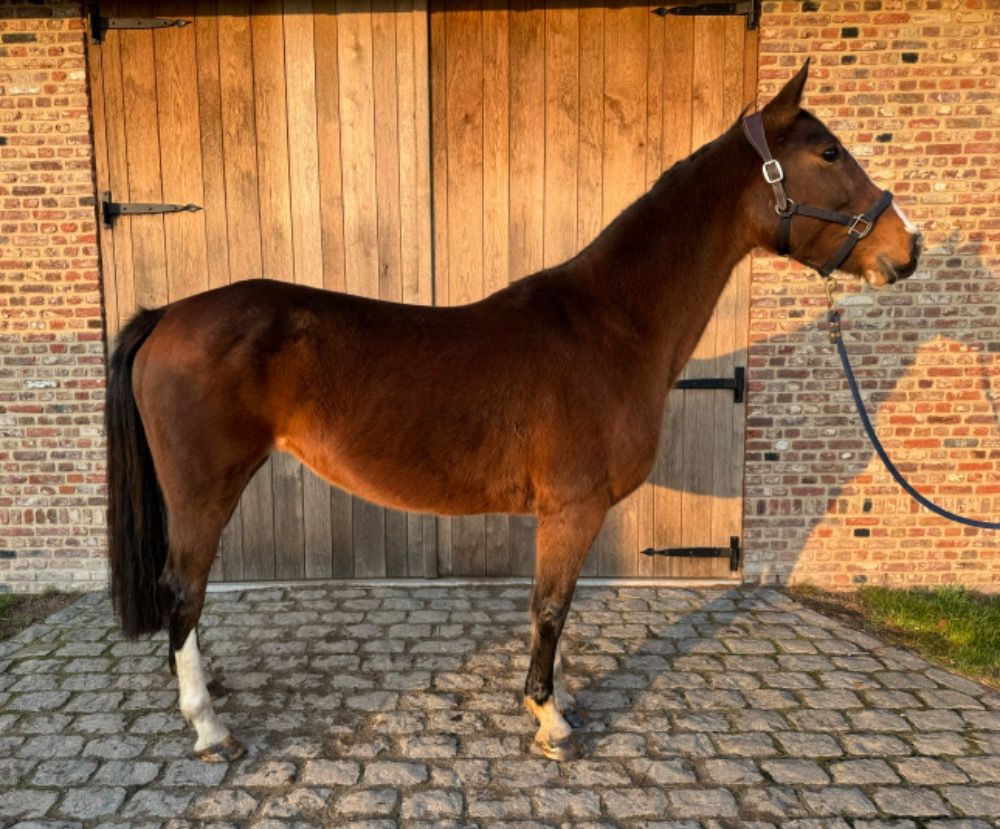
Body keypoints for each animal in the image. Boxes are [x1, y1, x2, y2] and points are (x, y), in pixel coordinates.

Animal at [104, 61, 921, 763]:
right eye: (828, 151)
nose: (905, 248)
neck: (608, 326)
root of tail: (169, 314)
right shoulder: (572, 508)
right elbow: (550, 607)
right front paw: (550, 718)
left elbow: (555, 607)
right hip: (205, 489)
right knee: (183, 587)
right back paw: (209, 726)